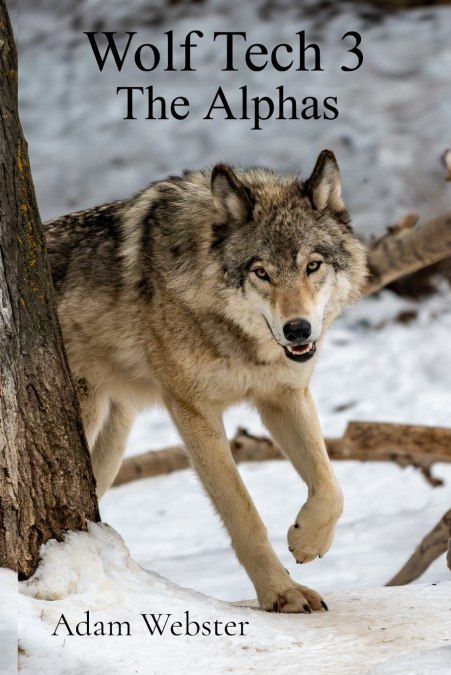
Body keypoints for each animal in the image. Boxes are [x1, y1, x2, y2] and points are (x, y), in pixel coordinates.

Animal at [44, 149, 367, 614]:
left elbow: (331, 487)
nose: (298, 330)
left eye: (313, 266)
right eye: (261, 273)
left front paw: (307, 541)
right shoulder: (193, 412)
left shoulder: (285, 396)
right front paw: (280, 593)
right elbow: (243, 514)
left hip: (107, 449)